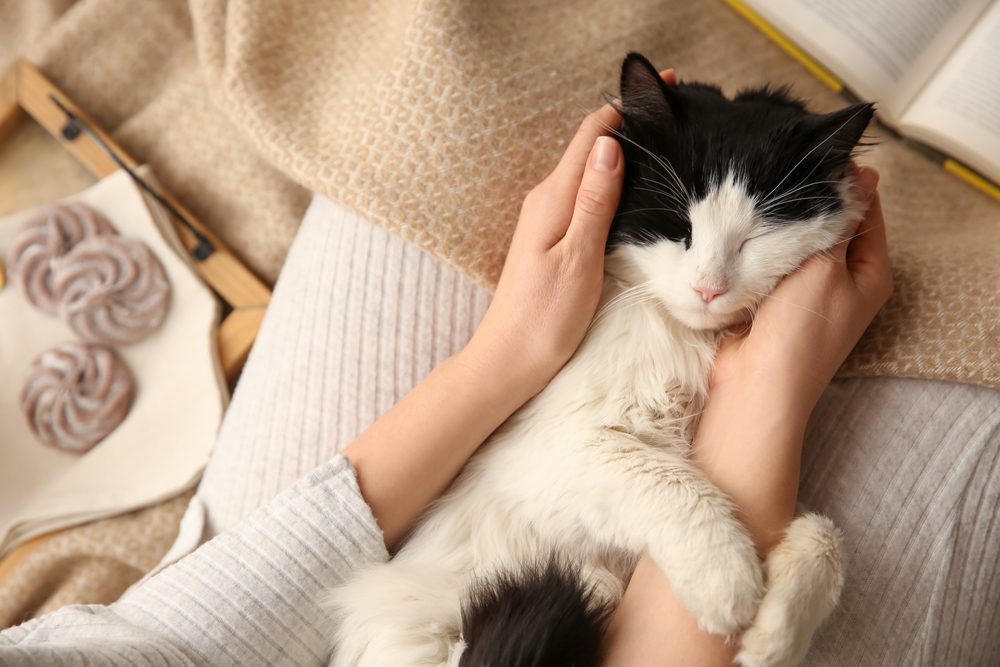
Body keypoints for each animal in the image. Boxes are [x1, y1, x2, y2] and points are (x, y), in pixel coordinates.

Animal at [326, 51, 868, 667]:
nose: (708, 288)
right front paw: (729, 585)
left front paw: (773, 635)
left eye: (754, 240)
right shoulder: (557, 455)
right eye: (678, 227)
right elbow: (672, 483)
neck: (685, 338)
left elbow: (827, 536)